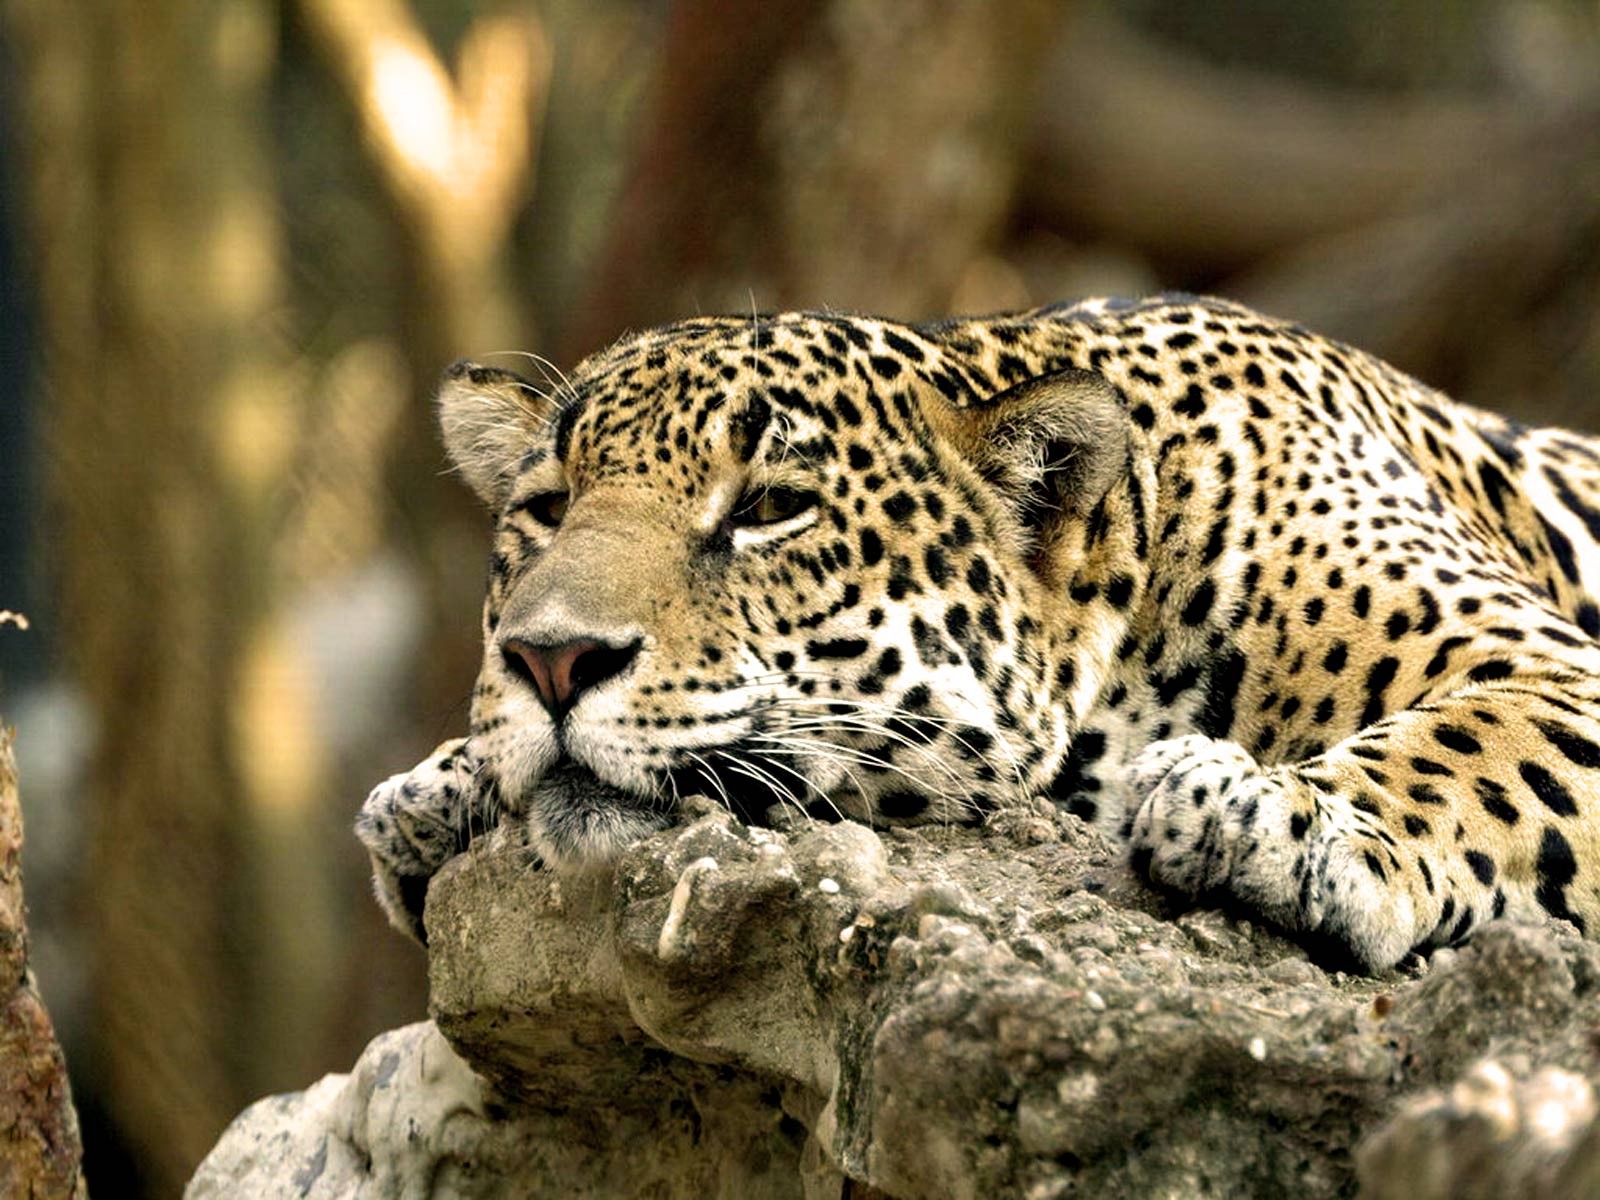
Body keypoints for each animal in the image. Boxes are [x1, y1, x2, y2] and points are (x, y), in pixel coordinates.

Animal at [357, 294, 1600, 973]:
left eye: (769, 508)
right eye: (547, 508)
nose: (549, 660)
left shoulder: (1549, 666)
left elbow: (1459, 749)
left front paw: (1268, 814)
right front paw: (440, 784)